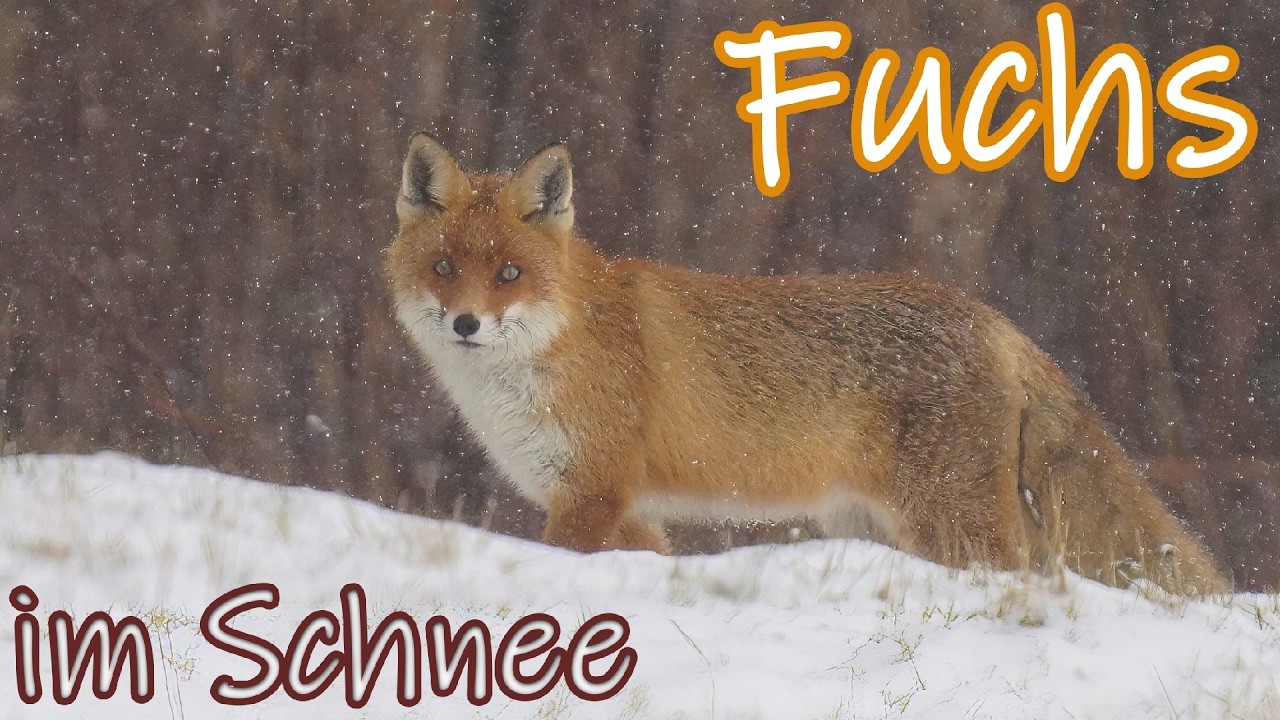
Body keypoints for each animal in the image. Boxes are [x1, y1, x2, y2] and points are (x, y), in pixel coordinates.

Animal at [385, 133, 1230, 596]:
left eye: (508, 275)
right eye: (444, 267)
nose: (466, 323)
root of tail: (996, 321)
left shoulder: (591, 492)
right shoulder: (626, 510)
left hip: (951, 525)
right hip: (881, 522)